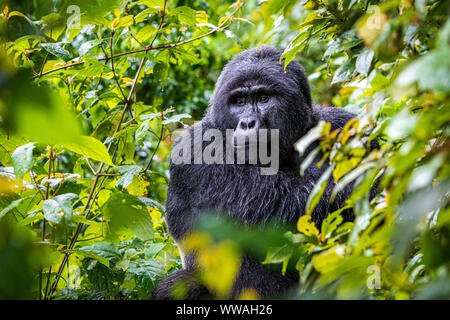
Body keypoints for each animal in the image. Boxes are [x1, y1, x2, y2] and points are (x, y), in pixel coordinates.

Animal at [153, 45, 360, 300]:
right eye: (239, 101)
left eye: (263, 98)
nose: (248, 123)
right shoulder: (195, 149)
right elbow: (292, 205)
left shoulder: (341, 122)